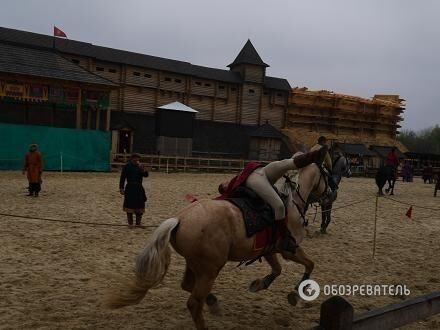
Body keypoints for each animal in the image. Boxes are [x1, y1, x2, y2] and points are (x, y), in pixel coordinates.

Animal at [105, 163, 328, 330]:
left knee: (188, 286)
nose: (331, 193)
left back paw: (212, 301)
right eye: (327, 174)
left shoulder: (269, 250)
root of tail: (179, 219)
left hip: (195, 264)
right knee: (194, 302)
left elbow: (278, 269)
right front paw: (298, 292)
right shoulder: (289, 249)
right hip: (210, 269)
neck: (291, 203)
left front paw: (260, 284)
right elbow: (310, 264)